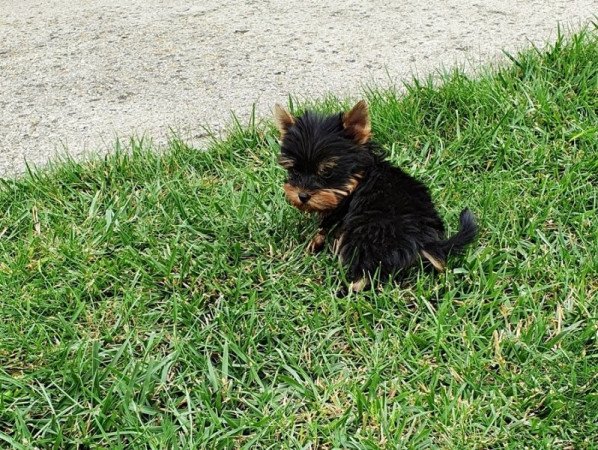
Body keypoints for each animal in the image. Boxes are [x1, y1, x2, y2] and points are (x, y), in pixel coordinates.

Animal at [276, 100, 478, 294]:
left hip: (367, 235)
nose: (302, 195)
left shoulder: (341, 209)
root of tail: (421, 238)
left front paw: (314, 242)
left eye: (326, 172)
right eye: (294, 170)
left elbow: (324, 226)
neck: (359, 177)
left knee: (365, 272)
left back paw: (344, 290)